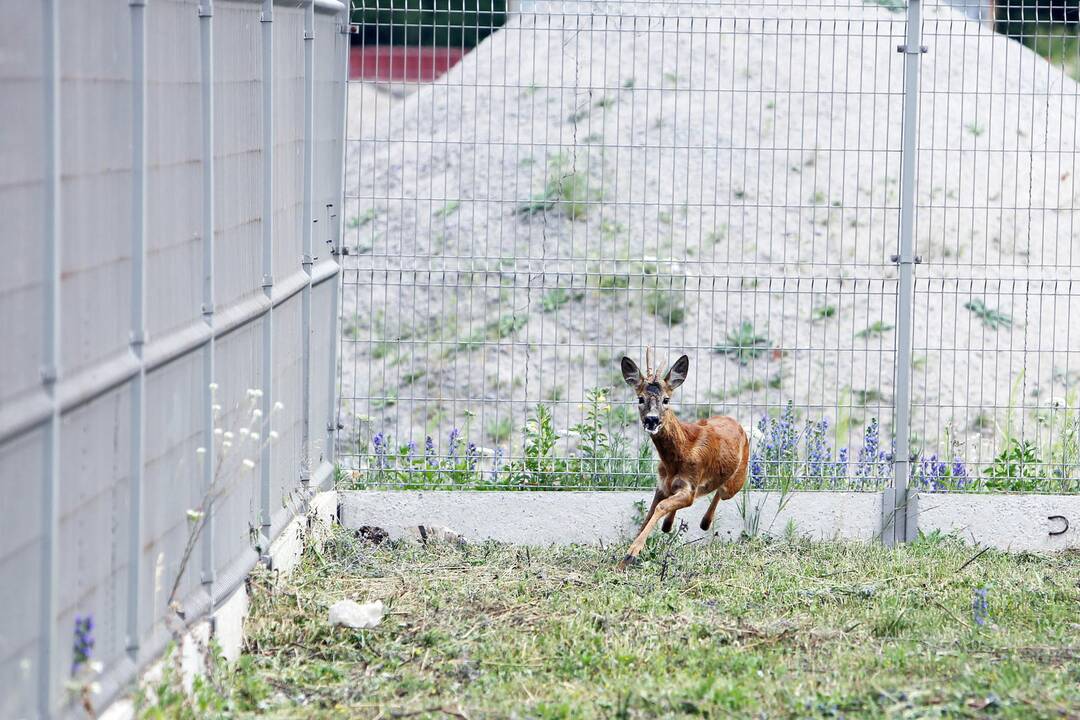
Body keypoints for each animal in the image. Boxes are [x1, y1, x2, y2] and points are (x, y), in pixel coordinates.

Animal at [617, 349, 751, 569]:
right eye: (640, 398)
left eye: (666, 399)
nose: (652, 420)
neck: (677, 458)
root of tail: (736, 423)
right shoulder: (661, 484)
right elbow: (651, 512)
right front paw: (625, 553)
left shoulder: (690, 485)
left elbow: (662, 506)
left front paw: (631, 554)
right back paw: (671, 524)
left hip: (735, 483)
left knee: (721, 491)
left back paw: (704, 522)